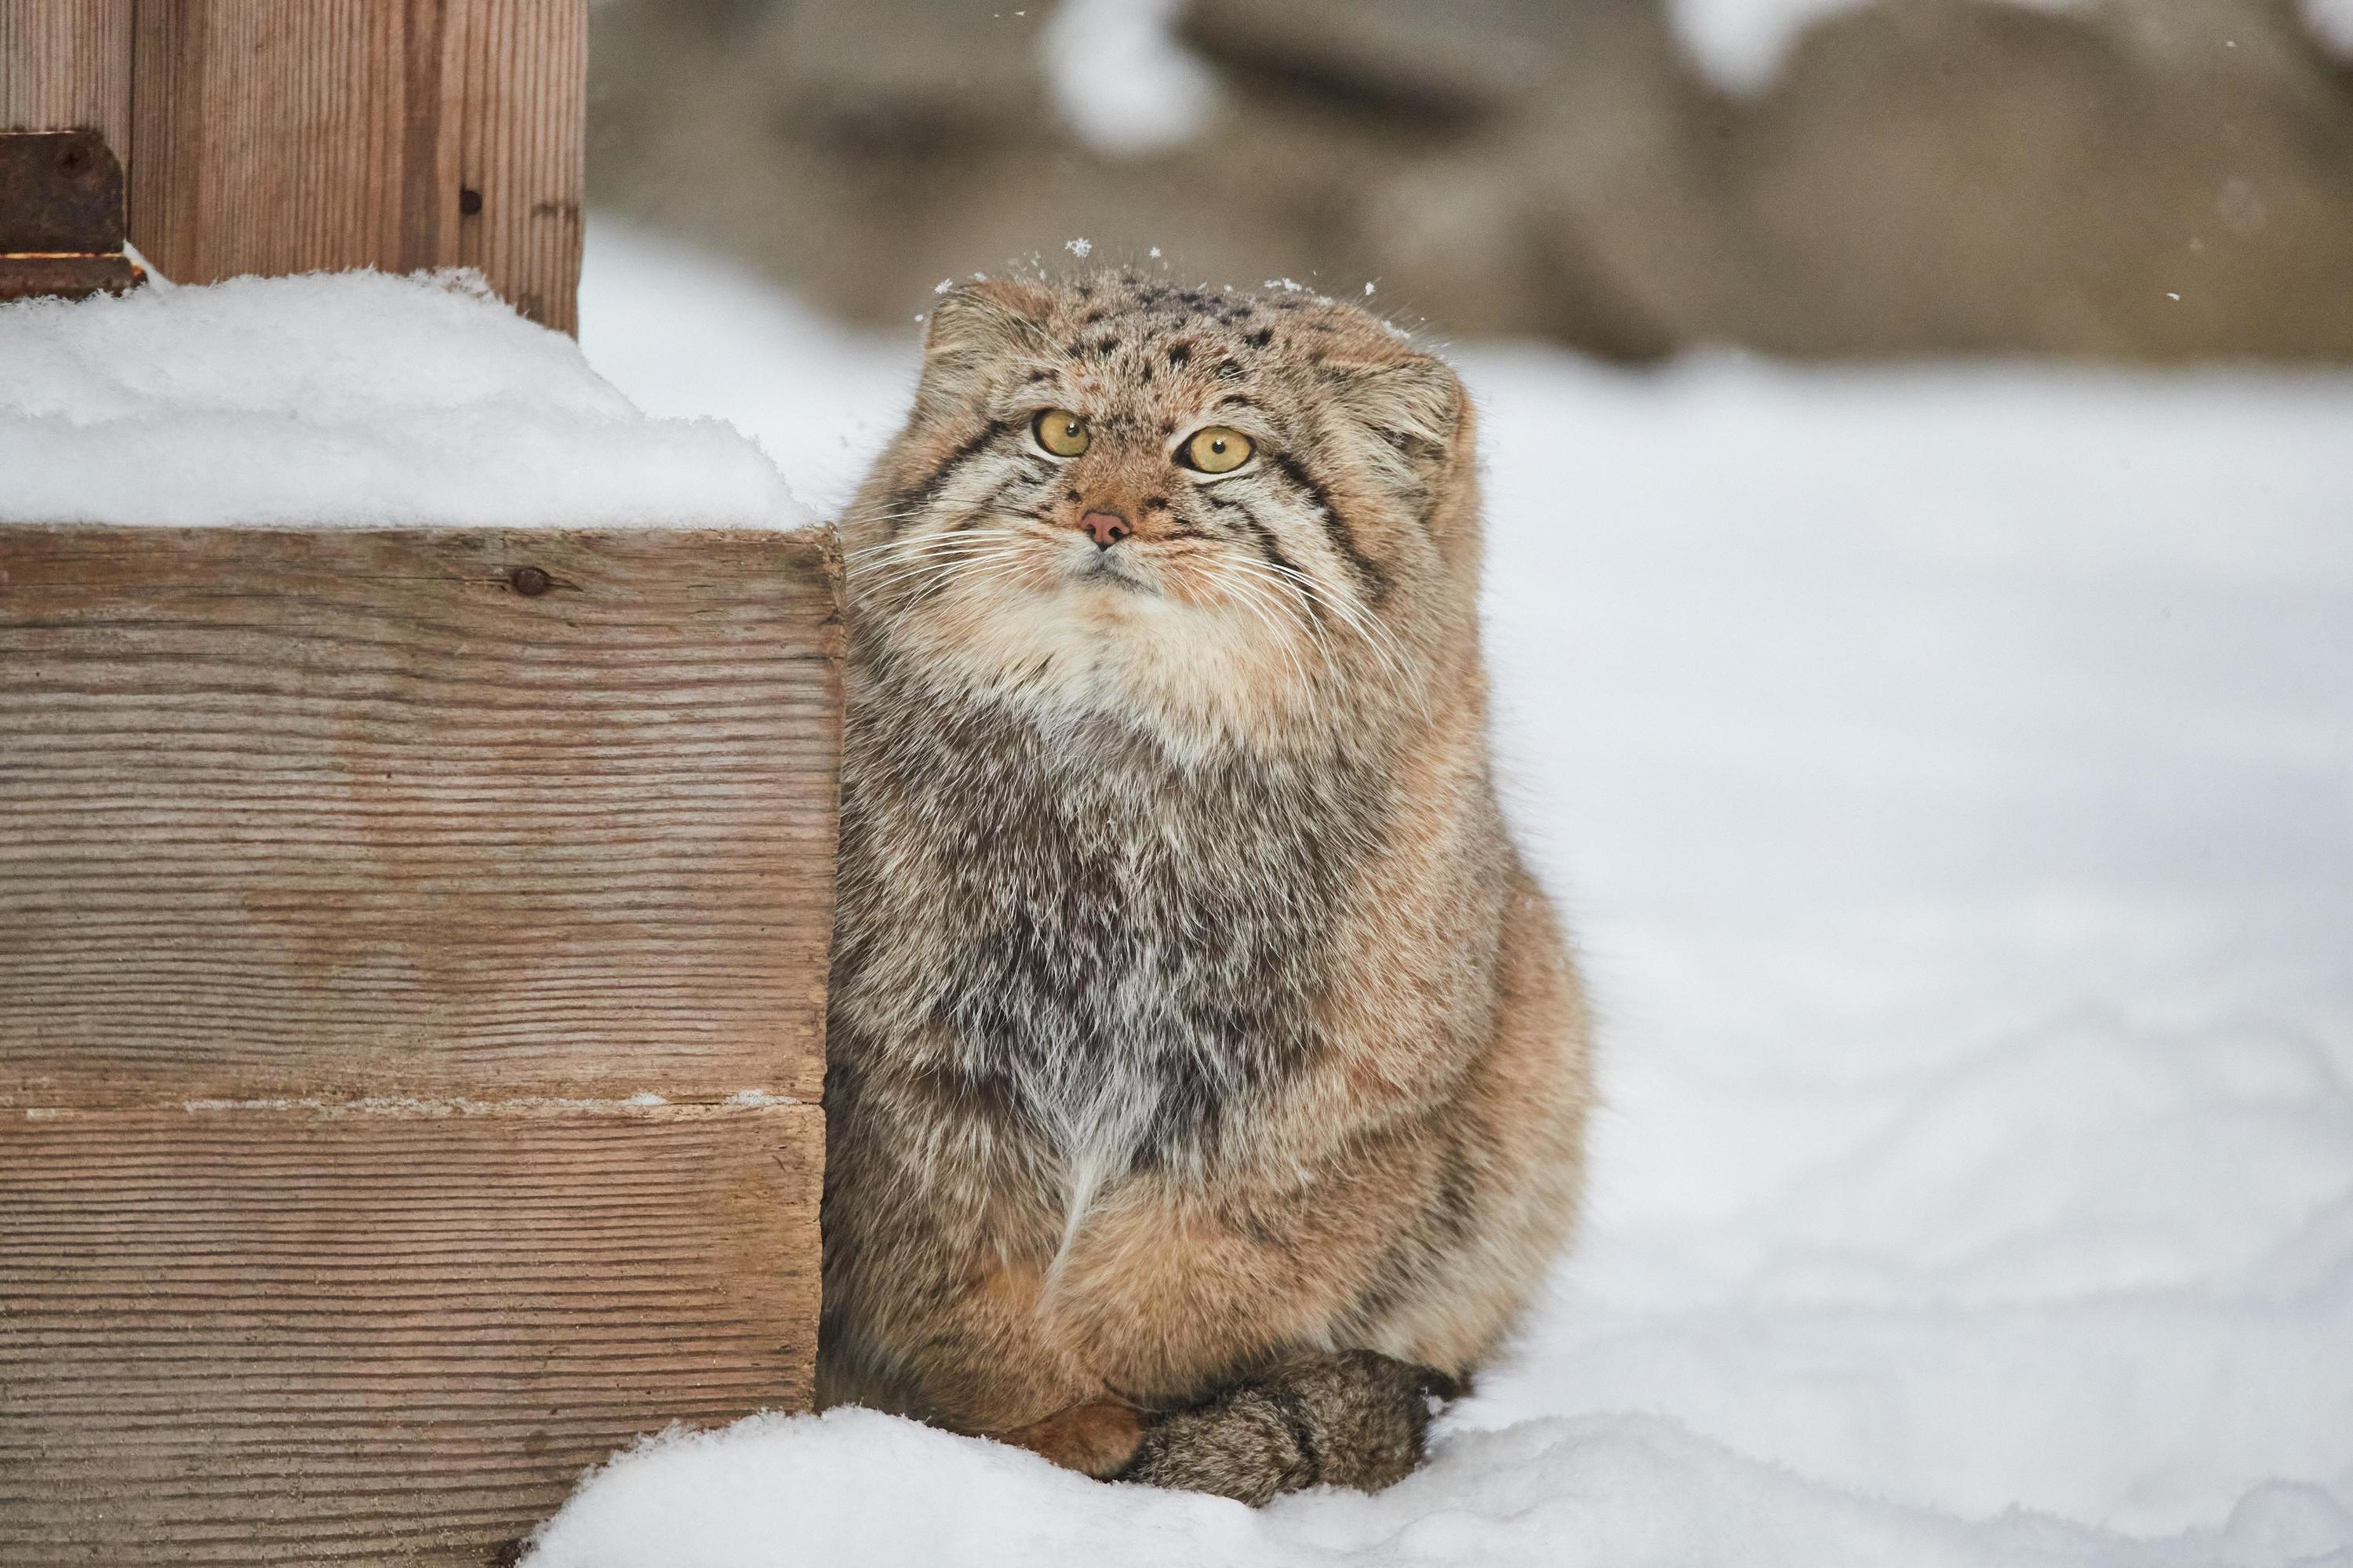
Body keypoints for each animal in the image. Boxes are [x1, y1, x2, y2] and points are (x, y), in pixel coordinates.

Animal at [819, 268, 1591, 1506]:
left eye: (1217, 449)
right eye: (1060, 429)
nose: (1103, 519)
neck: (1130, 759)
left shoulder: (1342, 1106)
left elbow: (1200, 1281)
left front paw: (1123, 1407)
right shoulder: (912, 1062)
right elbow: (959, 1276)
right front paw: (1049, 1420)